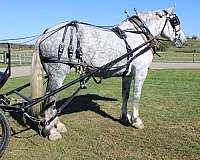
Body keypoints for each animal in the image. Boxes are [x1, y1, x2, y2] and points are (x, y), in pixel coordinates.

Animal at [30, 7, 186, 140]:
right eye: (175, 21)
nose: (183, 40)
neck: (139, 35)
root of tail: (45, 33)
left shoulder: (127, 75)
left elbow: (125, 95)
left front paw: (125, 117)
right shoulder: (140, 72)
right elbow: (136, 96)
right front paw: (136, 121)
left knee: (52, 101)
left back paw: (57, 124)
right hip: (57, 74)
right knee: (49, 99)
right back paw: (51, 131)